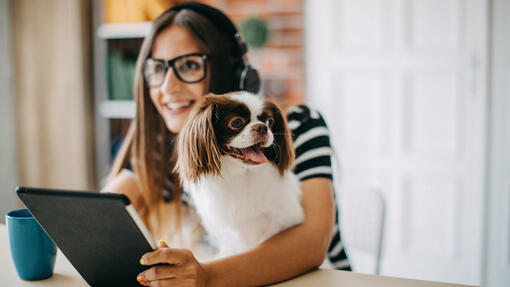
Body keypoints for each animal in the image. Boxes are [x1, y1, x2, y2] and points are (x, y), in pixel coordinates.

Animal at [175, 91, 302, 258]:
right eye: (236, 123)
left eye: (269, 122)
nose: (262, 127)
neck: (243, 173)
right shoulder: (227, 232)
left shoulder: (283, 218)